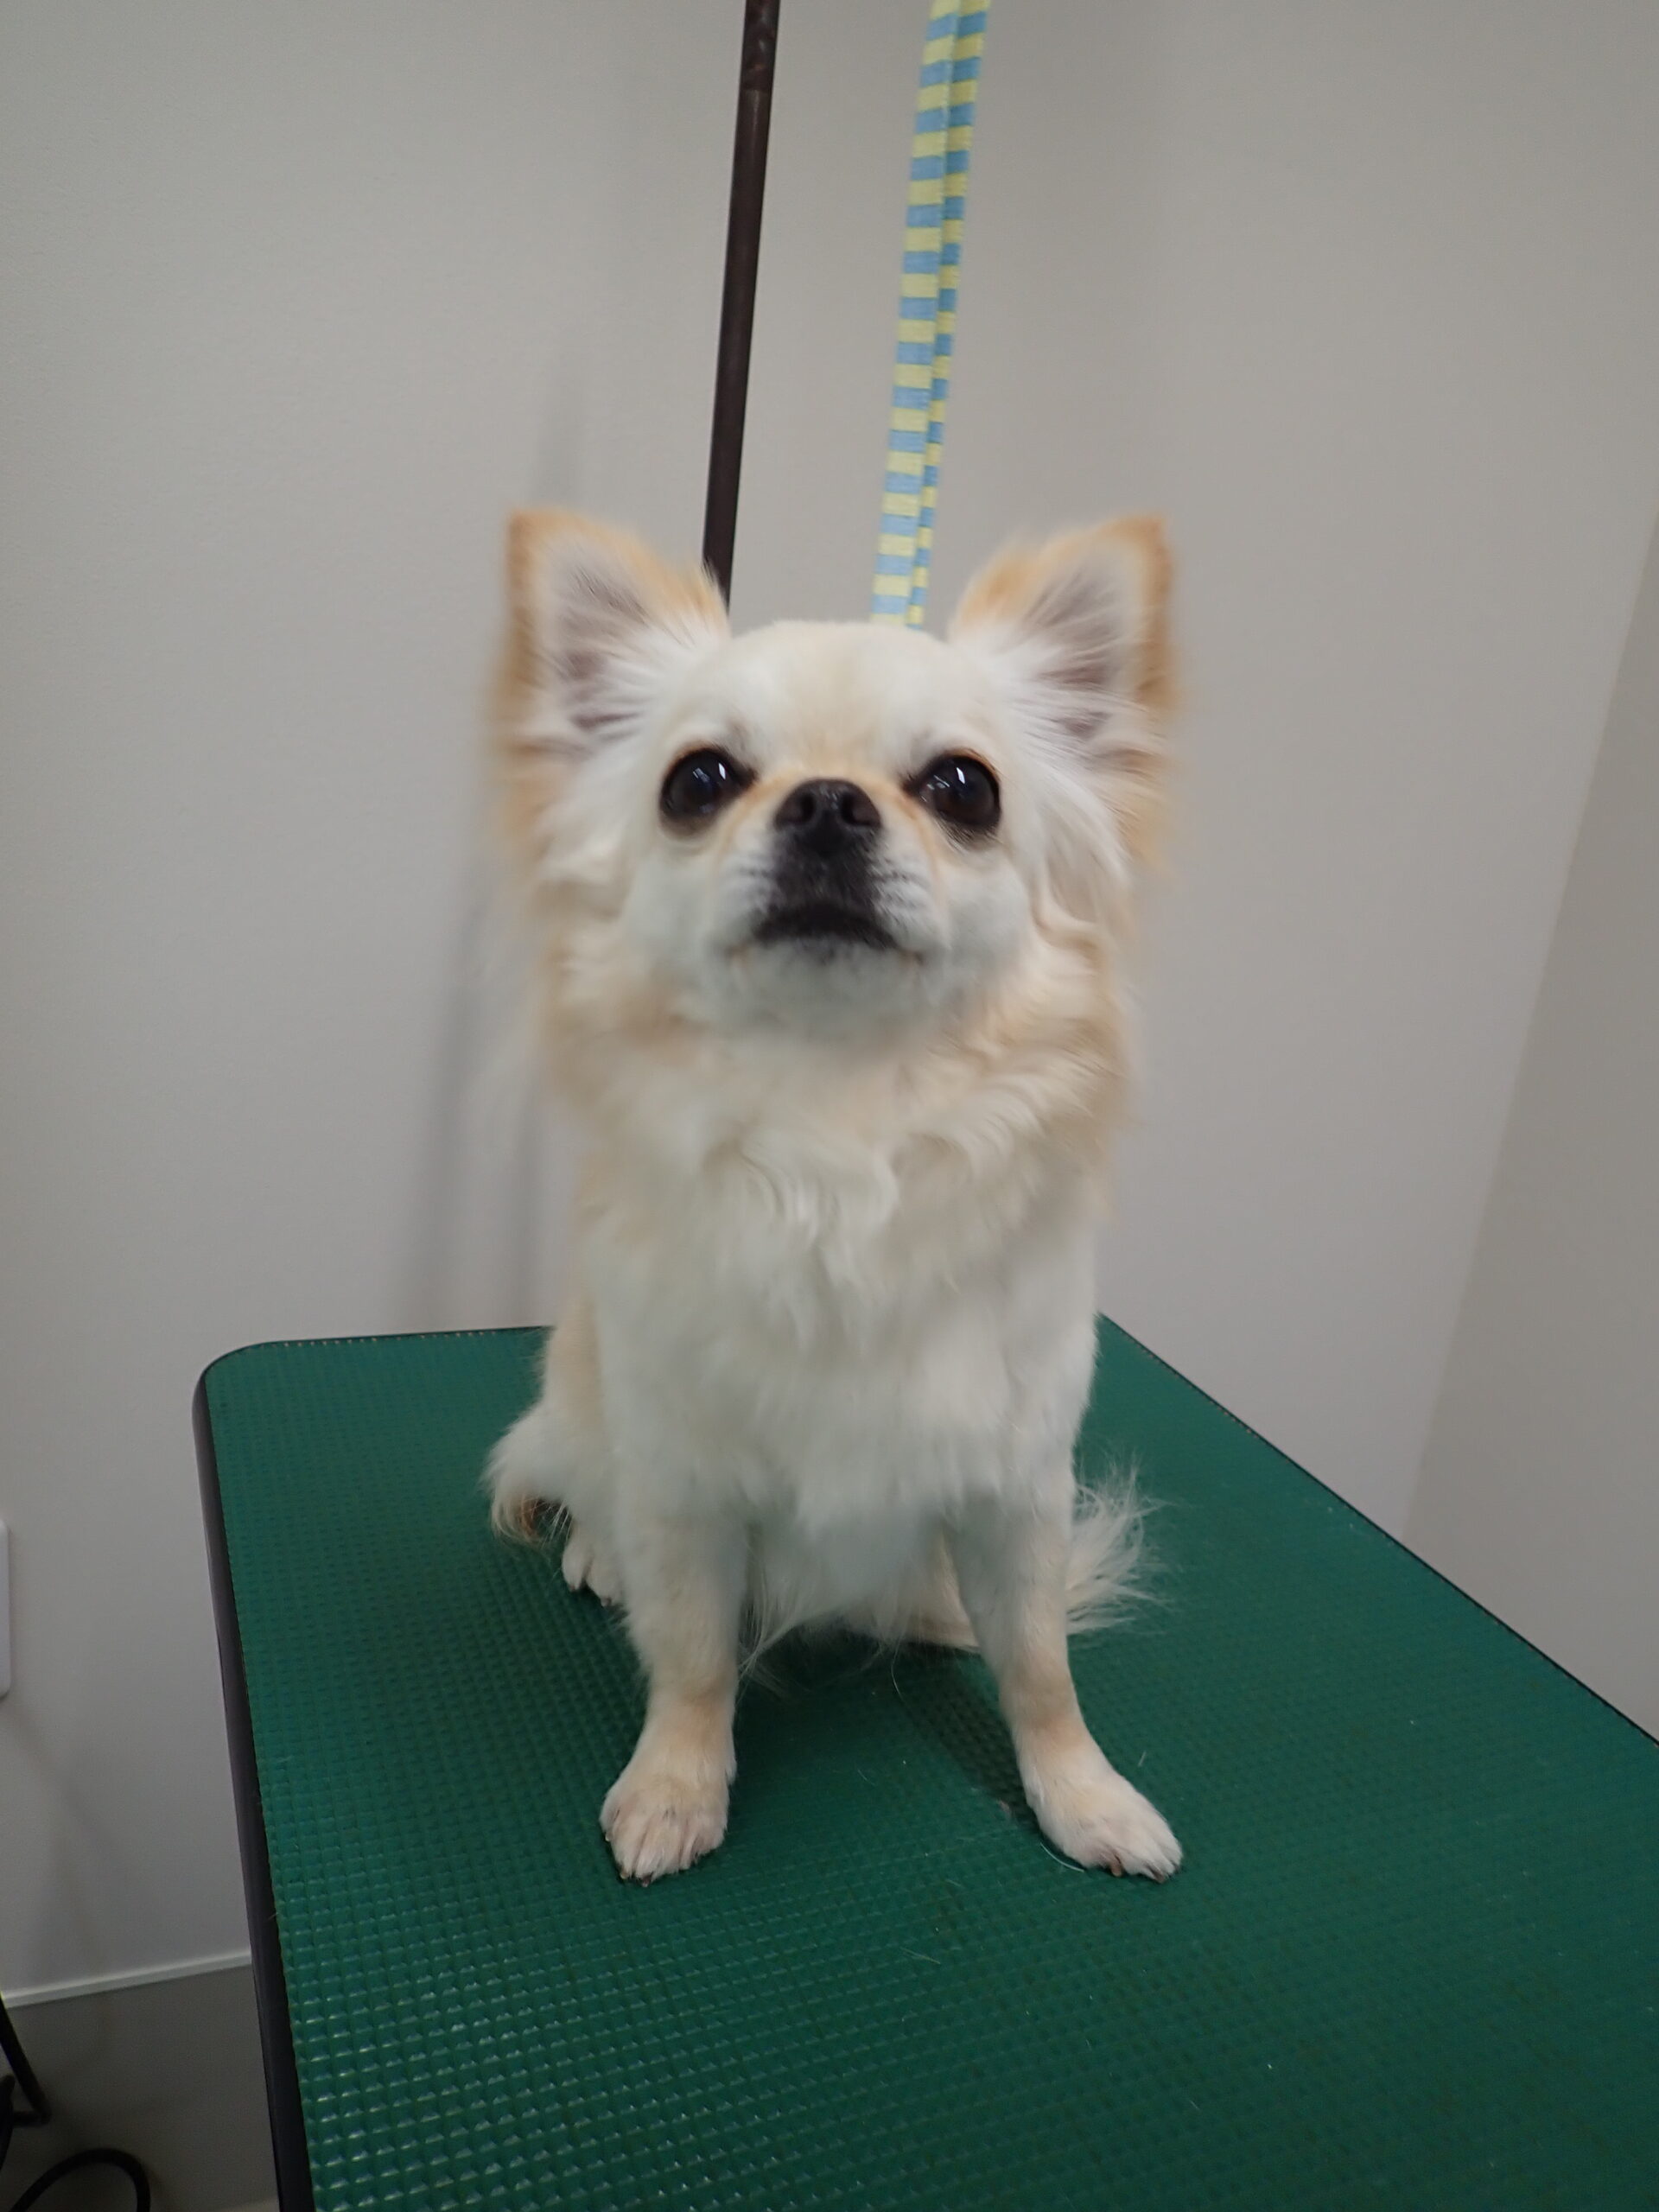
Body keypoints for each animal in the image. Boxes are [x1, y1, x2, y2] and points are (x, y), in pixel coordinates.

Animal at [486, 509, 1180, 1884]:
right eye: (697, 781)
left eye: (963, 790)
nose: (824, 800)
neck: (837, 1125)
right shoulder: (687, 1486)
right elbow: (694, 1656)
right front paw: (675, 1788)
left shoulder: (1017, 1489)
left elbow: (1041, 1668)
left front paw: (1083, 1797)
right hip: (585, 1411)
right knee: (591, 1491)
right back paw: (598, 1553)